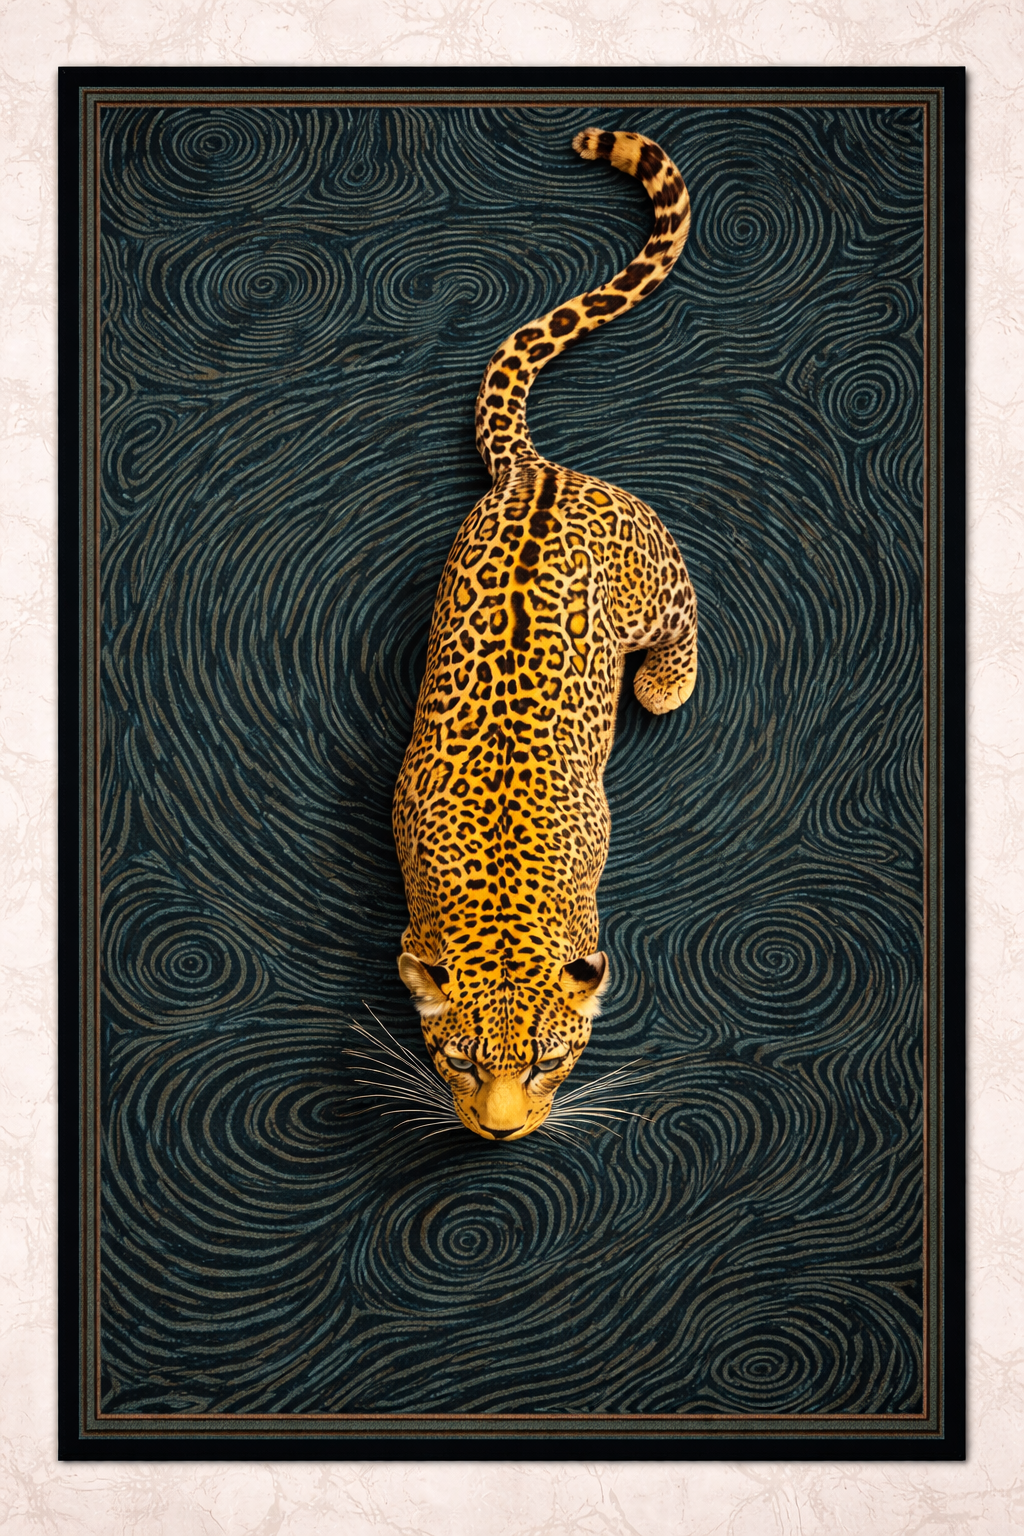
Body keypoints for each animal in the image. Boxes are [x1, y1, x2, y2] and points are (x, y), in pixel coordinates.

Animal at [392, 128, 697, 1143]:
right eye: (457, 1060)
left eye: (549, 1061)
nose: (499, 1131)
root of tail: (535, 471)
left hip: (647, 579)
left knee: (685, 599)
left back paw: (665, 684)